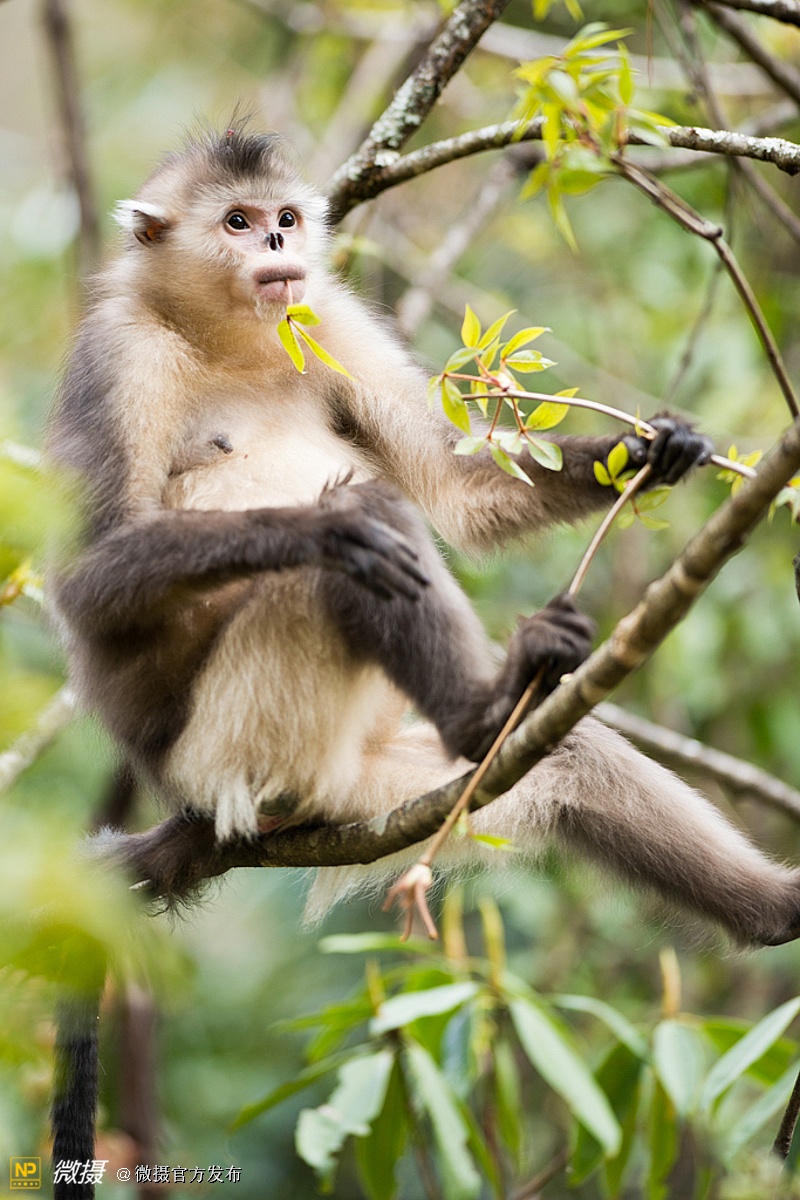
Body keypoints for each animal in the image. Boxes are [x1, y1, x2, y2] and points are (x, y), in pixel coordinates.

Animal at [46, 128, 800, 1194]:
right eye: (235, 221)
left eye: (283, 219)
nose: (275, 245)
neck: (225, 339)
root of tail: (193, 806)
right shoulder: (118, 358)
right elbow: (93, 582)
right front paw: (330, 521)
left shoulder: (323, 316)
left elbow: (456, 490)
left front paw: (656, 450)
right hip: (237, 755)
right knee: (330, 577)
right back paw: (475, 694)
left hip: (368, 786)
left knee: (563, 760)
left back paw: (766, 904)